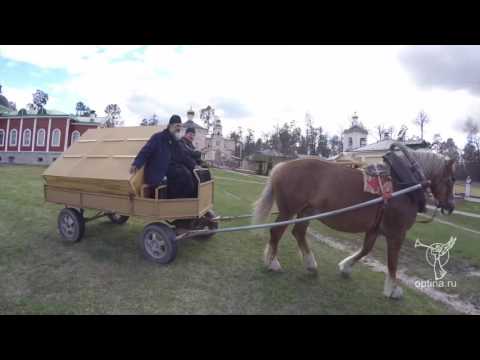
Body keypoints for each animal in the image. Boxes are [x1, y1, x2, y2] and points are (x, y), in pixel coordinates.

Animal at [253, 146, 456, 298]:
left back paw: (311, 265)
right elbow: (392, 262)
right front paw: (392, 289)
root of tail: (281, 166)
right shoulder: (396, 233)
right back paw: (272, 263)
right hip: (288, 211)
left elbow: (365, 250)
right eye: (451, 180)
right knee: (276, 232)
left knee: (299, 233)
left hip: (307, 211)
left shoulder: (374, 229)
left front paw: (346, 267)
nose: (451, 207)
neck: (403, 184)